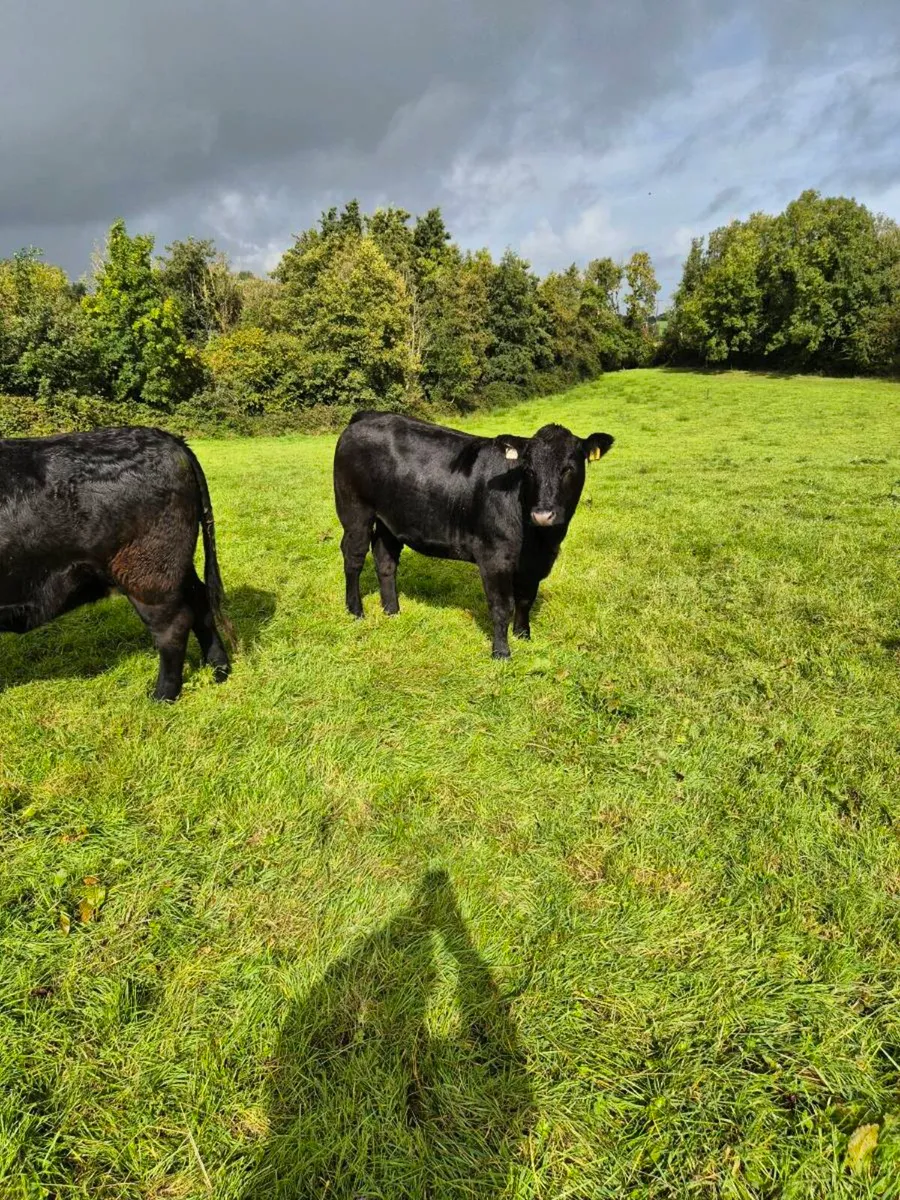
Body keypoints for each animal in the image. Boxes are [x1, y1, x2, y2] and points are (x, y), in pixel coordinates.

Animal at [0, 427, 231, 701]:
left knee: (174, 626)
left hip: (147, 573)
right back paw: (219, 669)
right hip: (175, 567)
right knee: (201, 603)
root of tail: (167, 438)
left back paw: (162, 696)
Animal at [333, 412, 614, 659]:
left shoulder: (536, 562)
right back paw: (356, 610)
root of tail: (367, 417)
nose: (543, 514)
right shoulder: (493, 557)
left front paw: (523, 635)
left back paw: (392, 610)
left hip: (390, 520)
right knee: (354, 557)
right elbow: (502, 606)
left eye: (568, 469)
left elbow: (525, 599)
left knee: (385, 559)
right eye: (529, 470)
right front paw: (501, 652)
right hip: (355, 511)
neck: (539, 540)